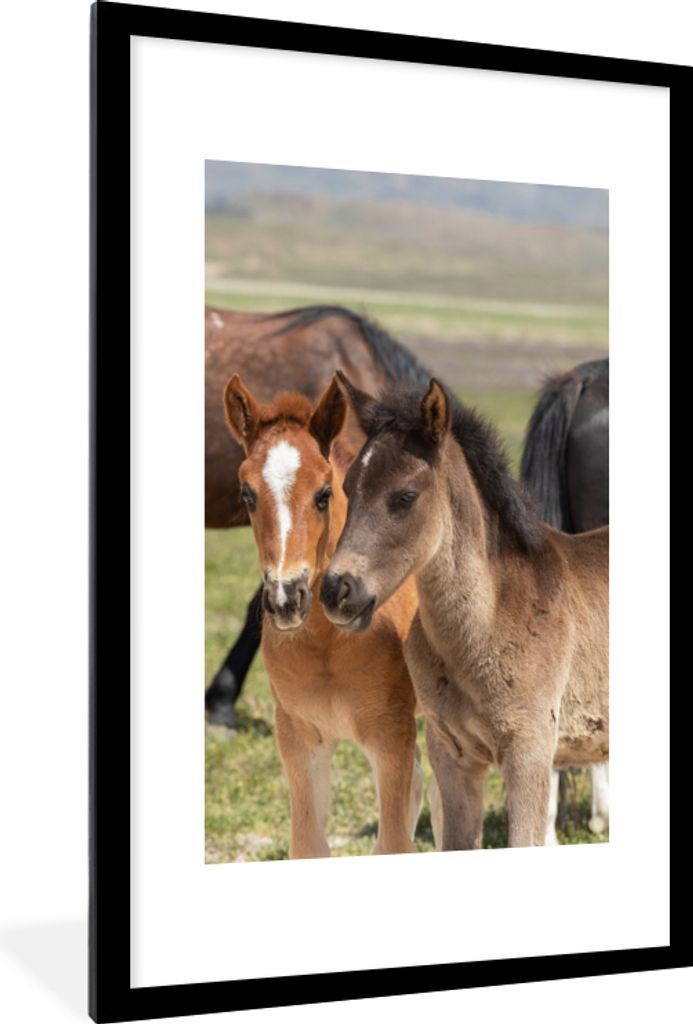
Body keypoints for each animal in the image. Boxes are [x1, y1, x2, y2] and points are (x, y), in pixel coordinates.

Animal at [222, 372, 423, 857]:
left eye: (324, 493)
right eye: (247, 494)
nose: (286, 597)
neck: (327, 642)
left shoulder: (391, 734)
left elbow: (393, 844)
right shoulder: (298, 738)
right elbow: (309, 845)